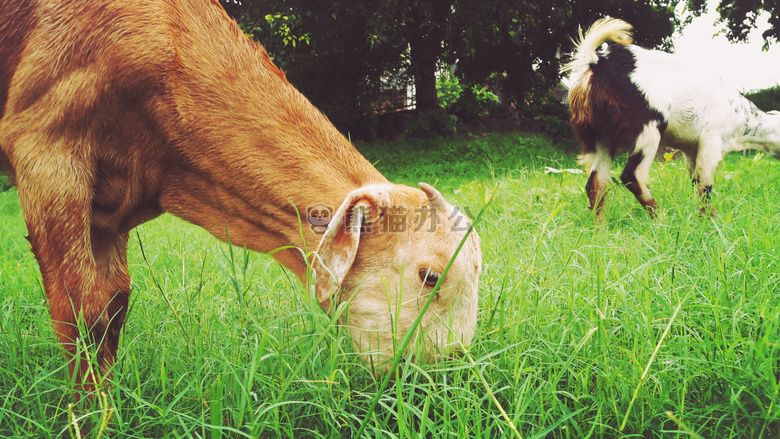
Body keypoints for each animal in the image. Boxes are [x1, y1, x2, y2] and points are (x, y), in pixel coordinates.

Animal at [0, 0, 482, 392]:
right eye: (430, 276)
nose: (442, 377)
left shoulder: (112, 209)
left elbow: (114, 306)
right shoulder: (45, 149)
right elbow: (83, 312)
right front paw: (94, 416)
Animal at [560, 18, 780, 222]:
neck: (744, 118)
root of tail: (596, 62)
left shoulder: (691, 151)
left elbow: (696, 182)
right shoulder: (711, 141)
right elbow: (705, 184)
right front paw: (710, 220)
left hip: (602, 136)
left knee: (595, 183)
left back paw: (601, 227)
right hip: (648, 125)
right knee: (632, 176)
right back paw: (661, 219)